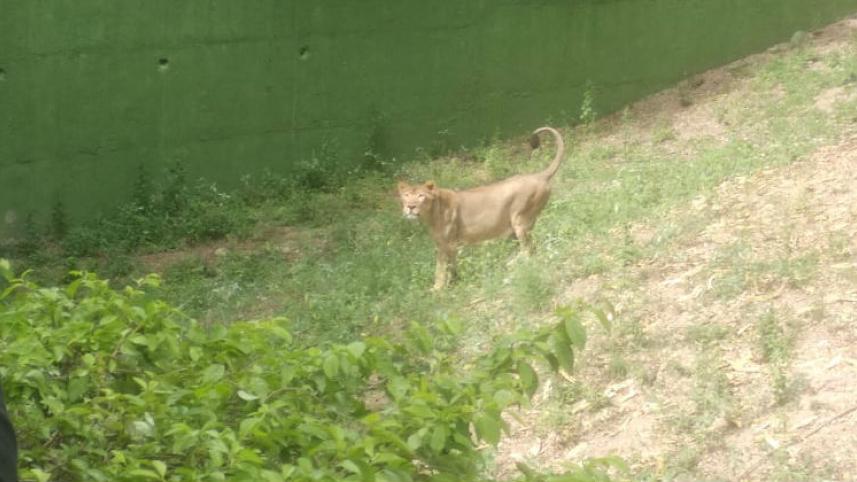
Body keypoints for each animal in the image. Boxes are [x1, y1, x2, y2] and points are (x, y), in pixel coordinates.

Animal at [397, 126, 565, 290]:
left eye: (421, 196)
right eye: (406, 195)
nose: (410, 206)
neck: (430, 215)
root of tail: (539, 175)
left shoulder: (447, 245)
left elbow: (440, 269)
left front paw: (438, 290)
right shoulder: (444, 245)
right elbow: (451, 266)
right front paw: (454, 282)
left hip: (520, 220)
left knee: (528, 250)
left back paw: (512, 264)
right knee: (531, 247)